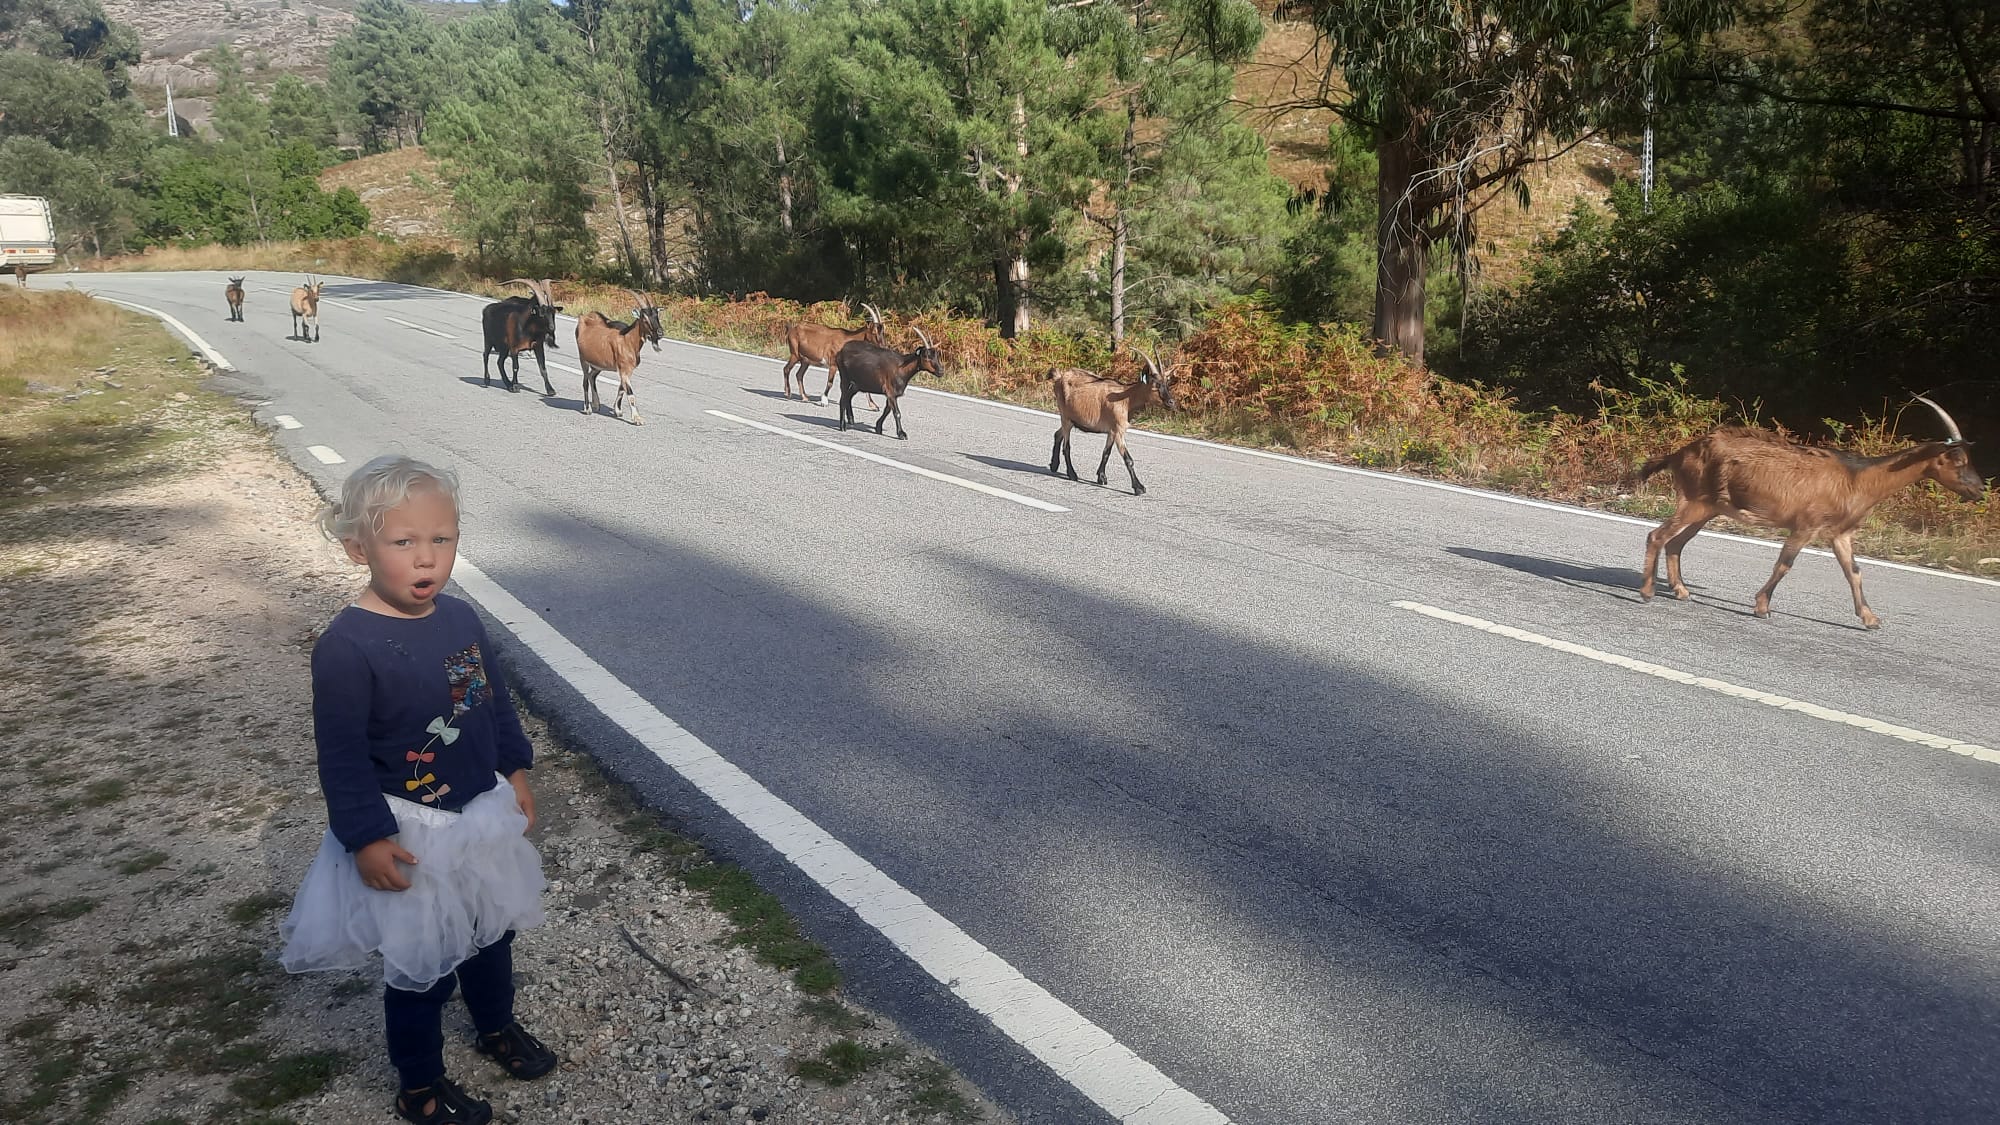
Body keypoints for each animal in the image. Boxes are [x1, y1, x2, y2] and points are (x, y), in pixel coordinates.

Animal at [576, 288, 668, 424]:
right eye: (644, 318)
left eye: (657, 316)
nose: (660, 333)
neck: (628, 340)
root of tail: (584, 317)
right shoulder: (624, 369)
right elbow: (630, 393)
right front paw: (637, 419)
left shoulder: (627, 370)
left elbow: (621, 388)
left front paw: (618, 410)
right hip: (583, 359)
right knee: (585, 380)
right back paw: (588, 409)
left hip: (598, 364)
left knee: (592, 376)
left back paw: (596, 404)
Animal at [1048, 346, 1168, 494]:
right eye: (1155, 385)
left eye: (1166, 384)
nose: (1171, 402)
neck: (1126, 398)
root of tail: (1059, 377)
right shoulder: (1119, 430)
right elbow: (1128, 459)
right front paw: (1139, 487)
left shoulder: (1112, 430)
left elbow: (1106, 453)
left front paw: (1101, 477)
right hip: (1065, 417)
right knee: (1067, 446)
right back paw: (1072, 474)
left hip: (1070, 419)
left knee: (1057, 434)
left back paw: (1054, 465)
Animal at [1640, 394, 1984, 624]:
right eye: (1958, 460)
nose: (1979, 490)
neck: (1858, 480)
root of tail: (1680, 454)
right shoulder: (1806, 525)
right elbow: (1785, 564)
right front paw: (1762, 607)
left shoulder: (1840, 534)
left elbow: (1854, 571)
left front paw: (1870, 618)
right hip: (1696, 500)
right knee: (1658, 536)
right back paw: (1647, 591)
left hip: (1710, 508)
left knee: (1676, 543)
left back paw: (1681, 590)